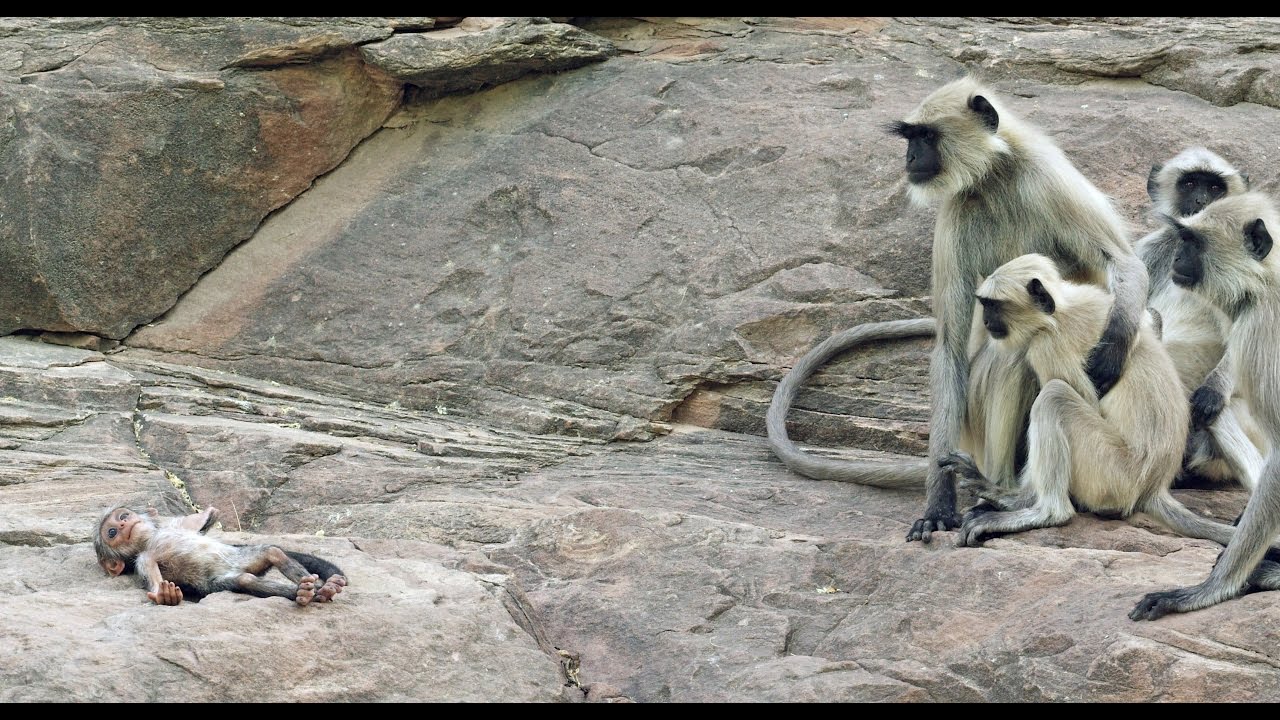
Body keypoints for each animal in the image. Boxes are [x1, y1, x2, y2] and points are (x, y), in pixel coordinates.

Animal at [95, 505, 347, 606]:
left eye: (124, 516)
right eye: (112, 532)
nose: (124, 523)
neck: (150, 539)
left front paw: (207, 514)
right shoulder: (144, 558)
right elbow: (155, 580)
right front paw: (164, 595)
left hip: (239, 558)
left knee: (272, 551)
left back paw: (323, 587)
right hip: (218, 580)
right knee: (244, 579)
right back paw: (306, 593)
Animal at [767, 77, 1149, 542]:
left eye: (926, 137)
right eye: (911, 138)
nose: (910, 159)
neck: (995, 175)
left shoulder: (1047, 176)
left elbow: (1123, 261)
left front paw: (1112, 349)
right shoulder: (955, 211)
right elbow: (950, 345)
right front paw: (938, 503)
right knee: (1010, 363)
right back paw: (1001, 492)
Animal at [934, 253, 1250, 548]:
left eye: (993, 305)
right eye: (985, 305)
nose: (987, 321)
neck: (1059, 311)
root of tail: (1154, 486)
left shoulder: (1047, 345)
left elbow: (1084, 398)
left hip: (1112, 474)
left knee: (1055, 396)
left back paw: (1043, 511)